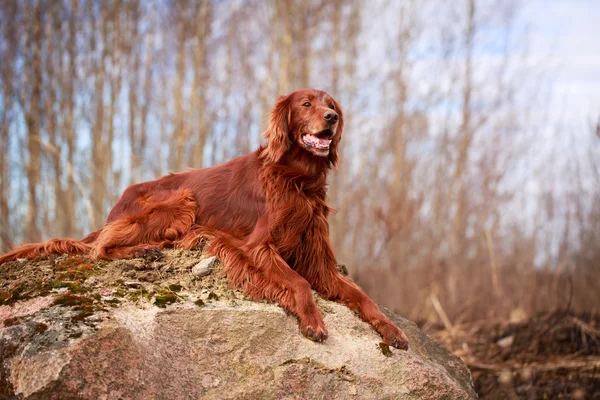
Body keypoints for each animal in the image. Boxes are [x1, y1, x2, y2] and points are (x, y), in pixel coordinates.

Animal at [0, 88, 408, 350]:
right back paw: (147, 249)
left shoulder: (319, 261)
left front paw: (391, 330)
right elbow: (299, 283)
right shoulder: (255, 246)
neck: (297, 178)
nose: (332, 118)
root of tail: (116, 205)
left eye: (332, 104)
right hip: (182, 199)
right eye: (307, 103)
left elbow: (362, 296)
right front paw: (313, 321)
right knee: (99, 248)